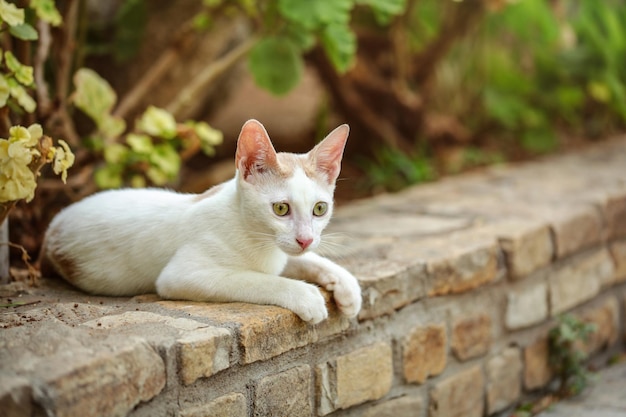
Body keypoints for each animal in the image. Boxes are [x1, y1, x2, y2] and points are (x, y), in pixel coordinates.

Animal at [42, 118, 360, 324]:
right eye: (281, 209)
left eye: (320, 209)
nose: (306, 239)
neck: (251, 232)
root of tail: (52, 227)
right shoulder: (181, 275)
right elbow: (256, 279)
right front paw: (304, 294)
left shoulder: (284, 249)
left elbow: (304, 260)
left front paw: (346, 284)